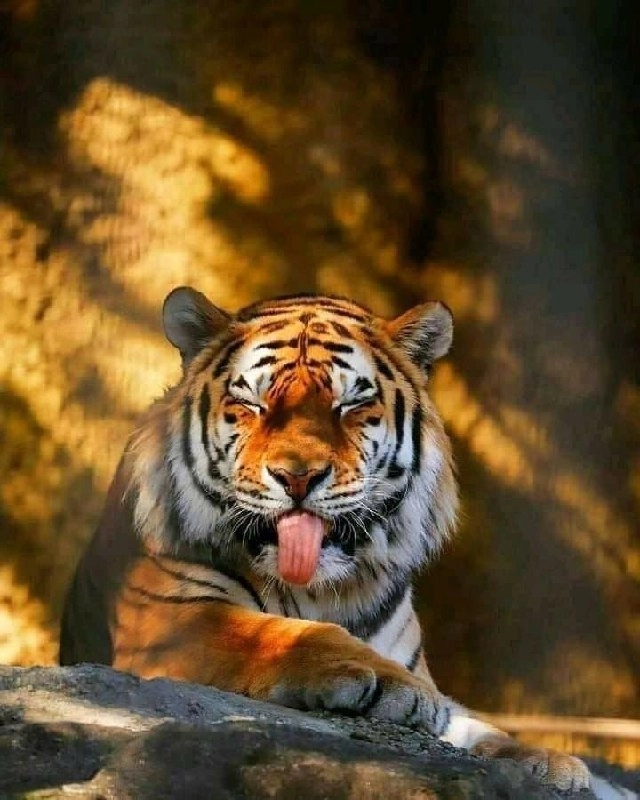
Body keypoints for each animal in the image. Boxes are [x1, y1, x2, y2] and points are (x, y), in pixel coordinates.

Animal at [60, 286, 614, 796]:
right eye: (253, 404)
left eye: (350, 404)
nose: (298, 477)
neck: (326, 589)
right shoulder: (171, 617)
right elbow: (285, 633)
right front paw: (392, 686)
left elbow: (471, 722)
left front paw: (547, 761)